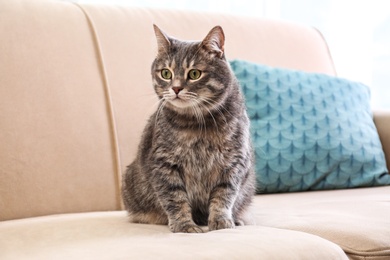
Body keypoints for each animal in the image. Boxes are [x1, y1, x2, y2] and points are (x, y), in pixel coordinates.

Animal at [122, 24, 256, 234]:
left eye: (194, 74)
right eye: (166, 73)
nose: (176, 88)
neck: (198, 125)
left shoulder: (234, 163)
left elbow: (223, 196)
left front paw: (221, 221)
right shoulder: (164, 165)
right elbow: (175, 199)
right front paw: (184, 225)